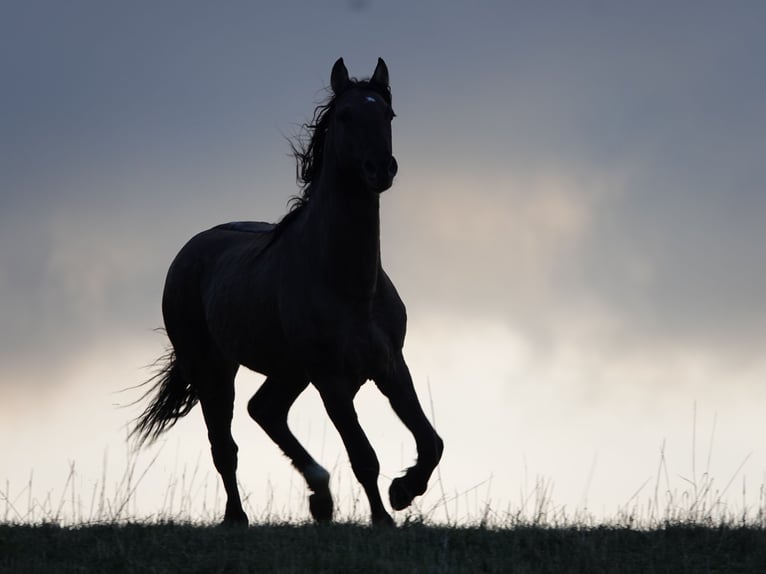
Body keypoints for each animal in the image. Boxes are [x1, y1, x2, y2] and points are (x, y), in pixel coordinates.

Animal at [131, 58, 443, 526]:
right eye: (346, 115)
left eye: (388, 115)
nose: (380, 169)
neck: (350, 286)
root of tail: (188, 252)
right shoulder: (331, 381)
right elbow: (364, 456)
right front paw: (384, 517)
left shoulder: (390, 366)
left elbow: (431, 442)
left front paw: (404, 490)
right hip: (213, 370)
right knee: (225, 445)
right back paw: (239, 517)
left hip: (289, 371)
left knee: (265, 410)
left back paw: (321, 496)